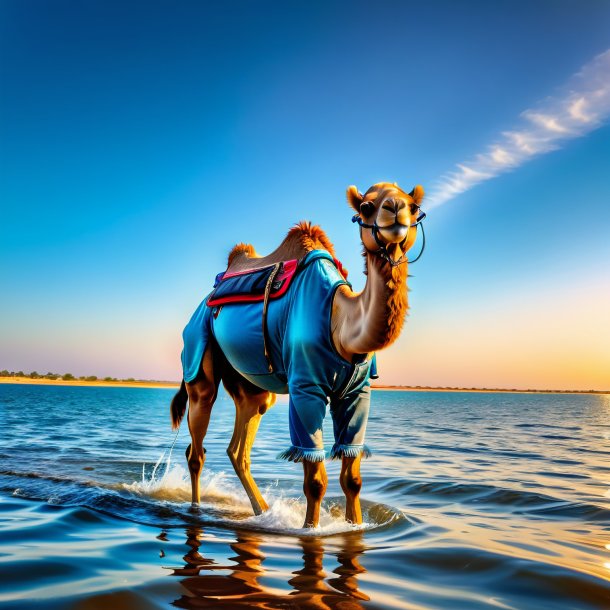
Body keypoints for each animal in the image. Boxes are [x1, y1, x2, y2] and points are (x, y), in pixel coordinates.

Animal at [166, 182, 422, 528]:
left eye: (413, 204)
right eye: (367, 207)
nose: (394, 209)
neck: (341, 323)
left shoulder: (357, 393)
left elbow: (352, 479)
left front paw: (354, 527)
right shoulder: (305, 387)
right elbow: (315, 481)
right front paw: (310, 529)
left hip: (252, 389)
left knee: (238, 449)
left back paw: (263, 512)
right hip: (197, 353)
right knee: (197, 447)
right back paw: (196, 509)